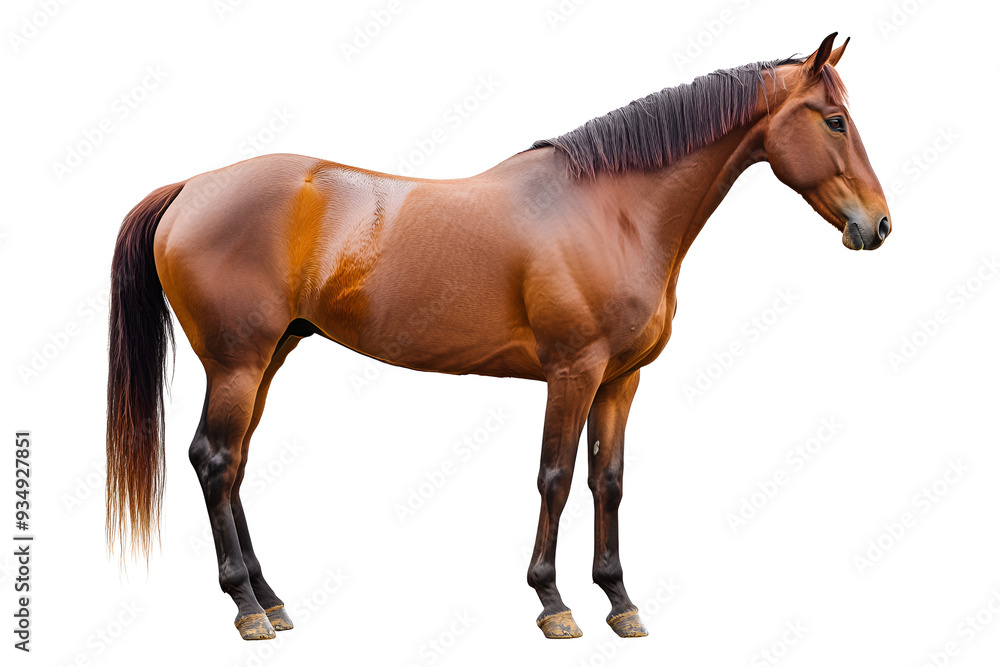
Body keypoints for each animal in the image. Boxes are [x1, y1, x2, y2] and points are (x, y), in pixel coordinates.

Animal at [106, 32, 890, 641]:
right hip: (237, 363)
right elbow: (556, 476)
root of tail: (191, 187)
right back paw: (245, 606)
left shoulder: (620, 379)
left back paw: (270, 599)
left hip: (268, 358)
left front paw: (620, 601)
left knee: (233, 464)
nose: (878, 225)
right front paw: (553, 602)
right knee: (213, 459)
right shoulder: (573, 372)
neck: (613, 210)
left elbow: (609, 481)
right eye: (834, 121)